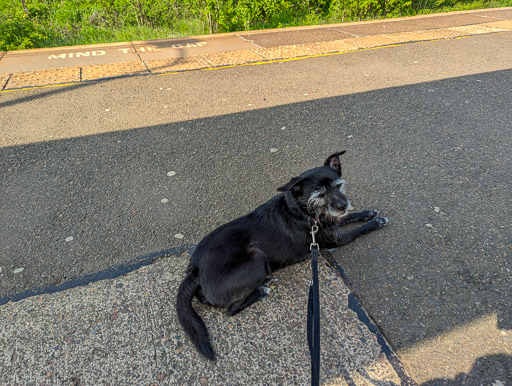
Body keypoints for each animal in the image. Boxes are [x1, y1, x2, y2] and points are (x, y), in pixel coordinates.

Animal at [176, 151, 388, 358]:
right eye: (320, 194)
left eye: (338, 186)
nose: (344, 204)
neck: (302, 211)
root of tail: (195, 270)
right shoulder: (335, 239)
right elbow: (358, 230)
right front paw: (375, 222)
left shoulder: (331, 222)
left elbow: (348, 217)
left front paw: (368, 213)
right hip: (257, 257)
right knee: (231, 309)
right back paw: (261, 290)